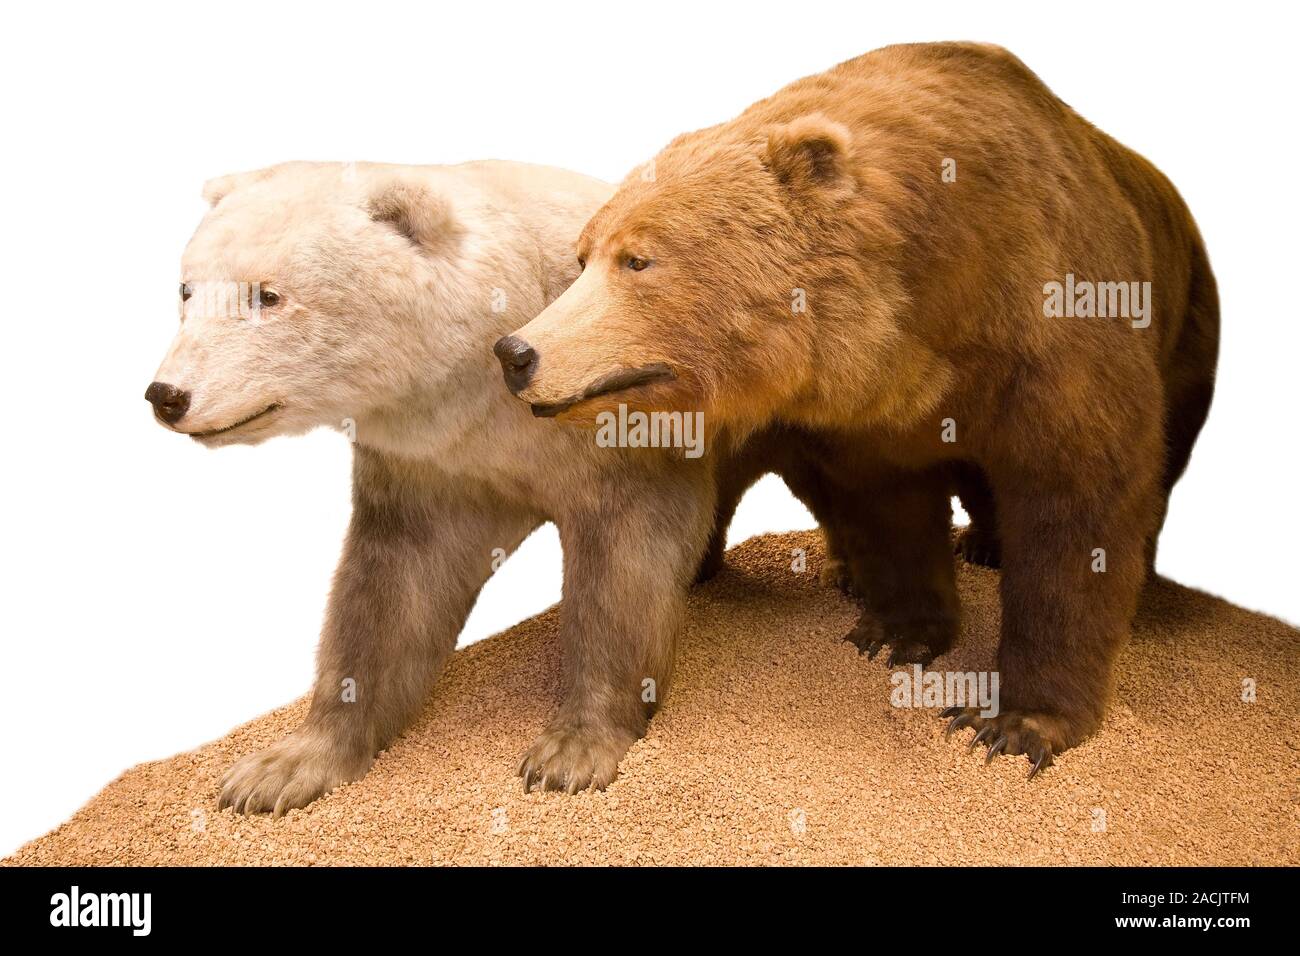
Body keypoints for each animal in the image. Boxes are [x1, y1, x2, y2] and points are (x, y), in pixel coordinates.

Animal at [147, 160, 723, 810]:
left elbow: (627, 558)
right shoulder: (435, 463)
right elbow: (394, 586)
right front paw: (279, 769)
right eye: (186, 290)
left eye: (267, 294)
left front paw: (570, 751)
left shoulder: (616, 412)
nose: (167, 395)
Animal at [497, 42, 1220, 775]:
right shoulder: (872, 407)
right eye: (583, 255)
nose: (517, 351)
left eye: (638, 259)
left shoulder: (1053, 328)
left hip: (1188, 324)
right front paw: (898, 633)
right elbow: (888, 503)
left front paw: (1013, 721)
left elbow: (1075, 506)